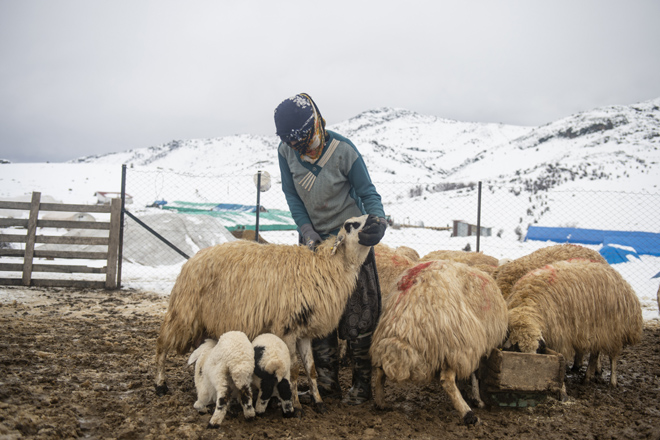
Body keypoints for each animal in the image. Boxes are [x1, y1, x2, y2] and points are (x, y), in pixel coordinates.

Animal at [152, 213, 374, 412]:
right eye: (350, 224)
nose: (376, 218)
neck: (325, 267)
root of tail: (192, 259)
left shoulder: (304, 331)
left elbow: (310, 370)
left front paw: (318, 402)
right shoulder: (287, 328)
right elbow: (294, 371)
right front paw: (296, 405)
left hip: (206, 320)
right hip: (185, 313)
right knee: (162, 344)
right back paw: (160, 384)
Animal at [372, 260, 506, 424]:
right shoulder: (474, 345)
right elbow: (475, 374)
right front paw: (477, 400)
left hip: (386, 337)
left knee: (379, 371)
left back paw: (380, 402)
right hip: (454, 345)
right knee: (447, 381)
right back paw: (468, 414)